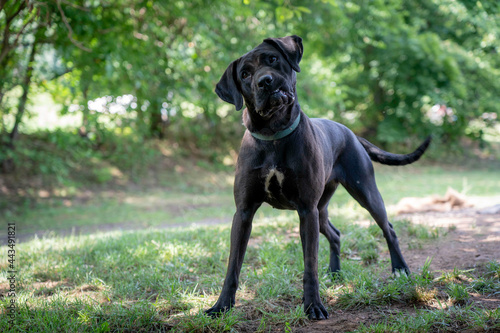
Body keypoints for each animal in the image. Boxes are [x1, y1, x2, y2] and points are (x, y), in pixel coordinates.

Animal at [205, 35, 432, 320]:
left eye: (272, 59)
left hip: (363, 193)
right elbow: (233, 265)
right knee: (335, 234)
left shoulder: (306, 210)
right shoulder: (244, 212)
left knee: (388, 229)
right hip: (321, 209)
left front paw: (313, 305)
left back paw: (399, 269)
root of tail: (351, 132)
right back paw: (335, 273)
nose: (265, 81)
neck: (273, 134)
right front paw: (222, 306)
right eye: (245, 74)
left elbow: (309, 263)